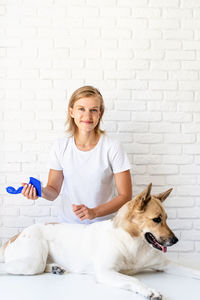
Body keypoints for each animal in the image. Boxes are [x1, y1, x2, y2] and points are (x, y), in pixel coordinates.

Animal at [0, 183, 200, 300]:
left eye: (166, 218)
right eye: (157, 219)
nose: (175, 240)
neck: (132, 243)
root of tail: (15, 236)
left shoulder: (164, 264)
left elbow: (190, 270)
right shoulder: (106, 272)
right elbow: (133, 279)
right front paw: (149, 290)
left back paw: (57, 268)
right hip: (32, 261)